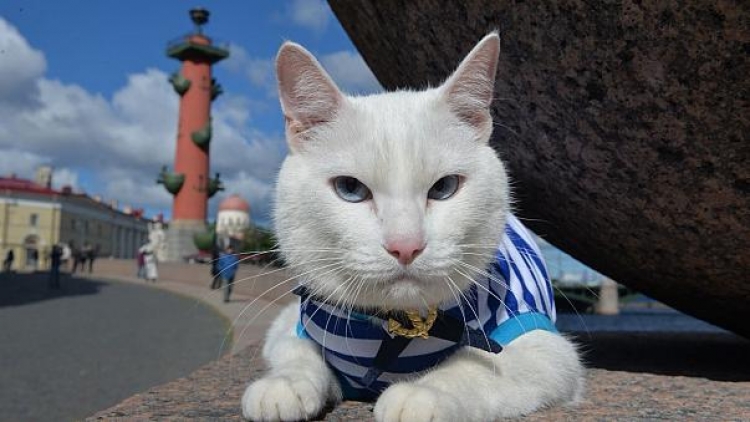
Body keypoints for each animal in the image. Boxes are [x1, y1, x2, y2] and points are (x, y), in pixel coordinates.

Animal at [244, 33, 584, 422]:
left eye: (444, 187)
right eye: (350, 189)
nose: (405, 246)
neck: (390, 335)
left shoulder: (546, 348)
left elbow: (476, 365)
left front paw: (423, 393)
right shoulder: (291, 323)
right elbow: (296, 351)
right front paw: (283, 385)